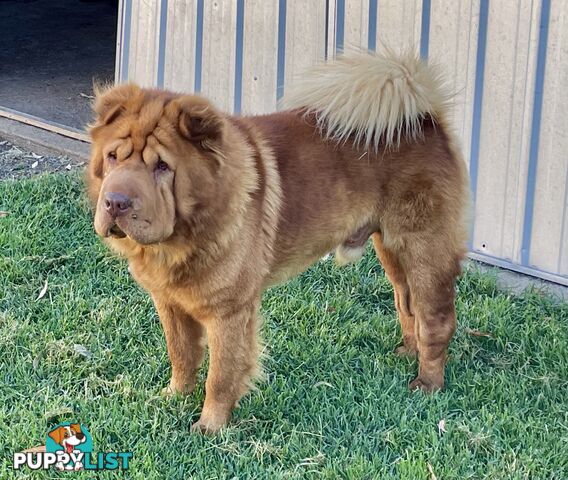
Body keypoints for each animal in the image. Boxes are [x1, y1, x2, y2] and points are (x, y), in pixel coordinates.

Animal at [87, 51, 470, 432]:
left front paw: (209, 427)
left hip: (424, 249)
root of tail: (425, 117)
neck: (179, 240)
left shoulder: (229, 310)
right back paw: (407, 354)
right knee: (407, 304)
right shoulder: (169, 301)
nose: (116, 202)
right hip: (391, 249)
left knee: (435, 319)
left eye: (163, 167)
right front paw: (174, 397)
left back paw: (427, 383)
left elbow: (221, 374)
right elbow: (181, 353)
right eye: (113, 157)